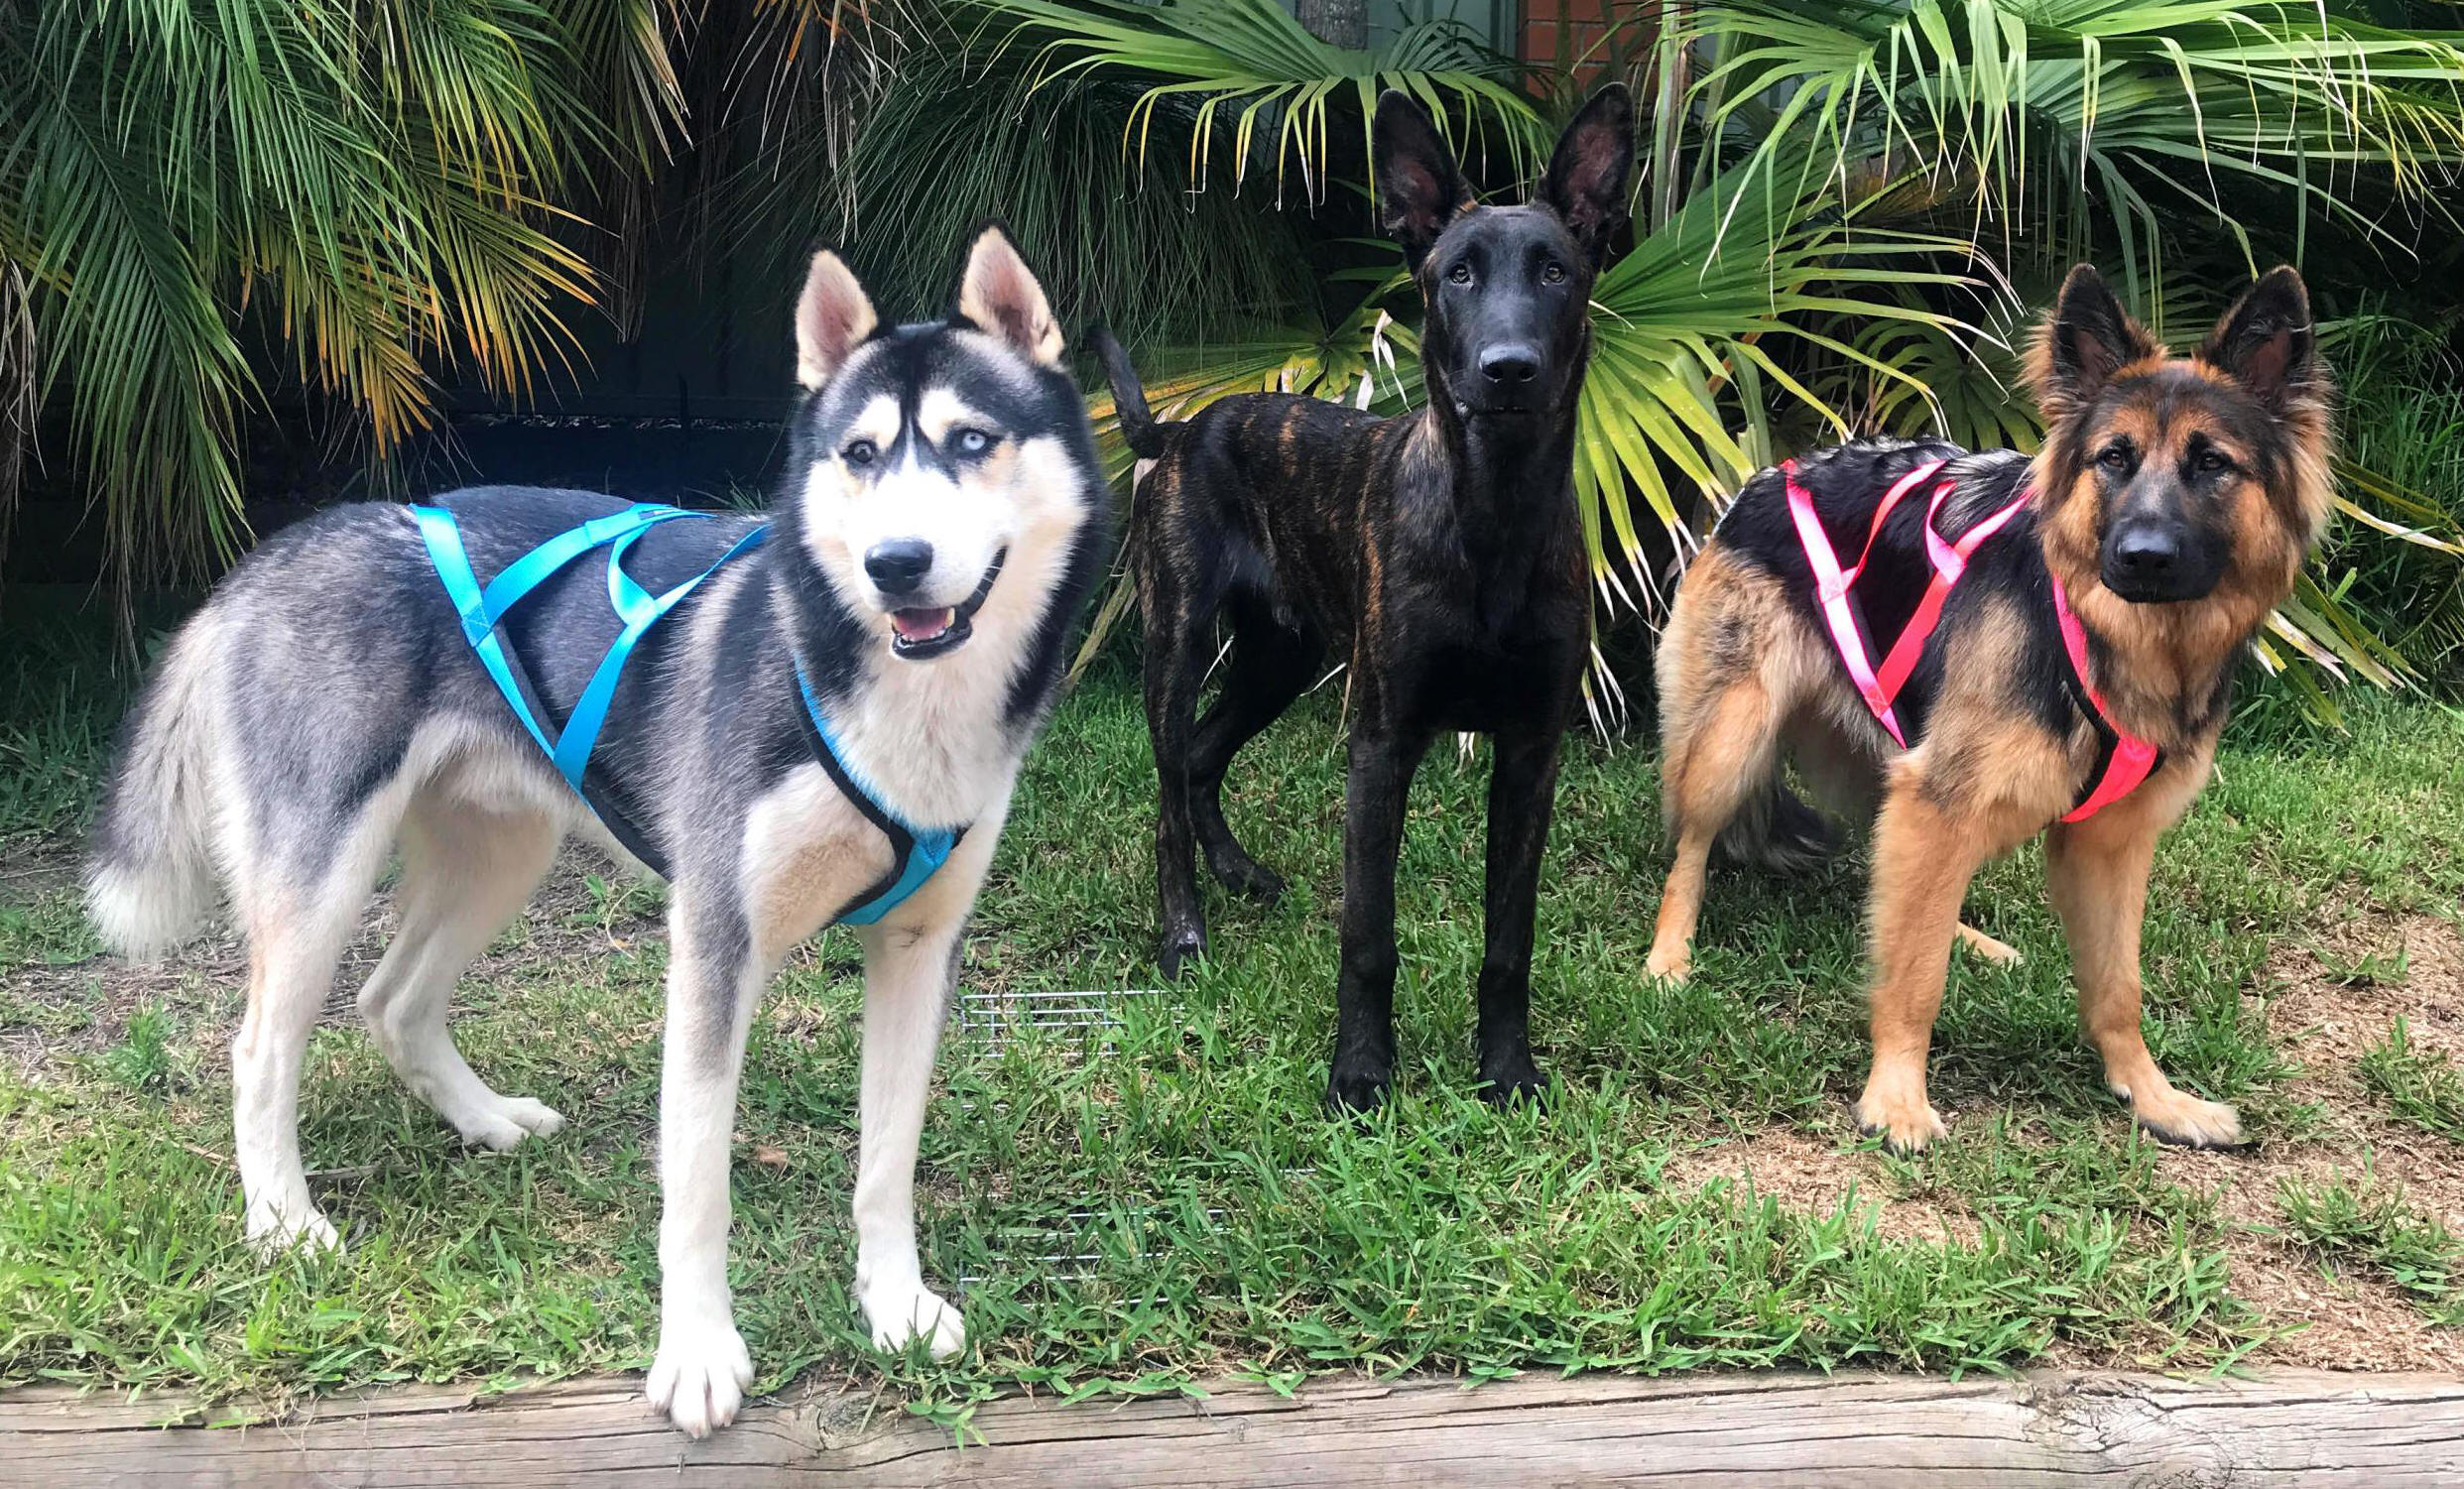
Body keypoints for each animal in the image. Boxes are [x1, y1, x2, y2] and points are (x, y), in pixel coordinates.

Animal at [86, 229, 1108, 1429]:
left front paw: (893, 1303)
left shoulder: (916, 948)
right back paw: (285, 1225)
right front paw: (698, 1353)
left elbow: (885, 1164)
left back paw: (481, 1119)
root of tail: (259, 564)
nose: (894, 563)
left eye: (972, 441)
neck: (880, 692)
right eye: (860, 453)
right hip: (322, 872)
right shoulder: (715, 945)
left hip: (500, 857)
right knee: (258, 1049)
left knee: (392, 1001)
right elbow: (698, 1187)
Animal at [1098, 84, 1636, 1104]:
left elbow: (1510, 940)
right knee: (1167, 791)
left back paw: (1237, 870)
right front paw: (1359, 1074)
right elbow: (1368, 936)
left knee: (1200, 761)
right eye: (1457, 275)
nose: (1510, 369)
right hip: (1175, 640)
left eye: (1555, 270)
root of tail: (1185, 428)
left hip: (1280, 656)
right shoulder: (1381, 743)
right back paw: (1184, 929)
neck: (1492, 515)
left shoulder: (1531, 749)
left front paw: (1507, 1068)